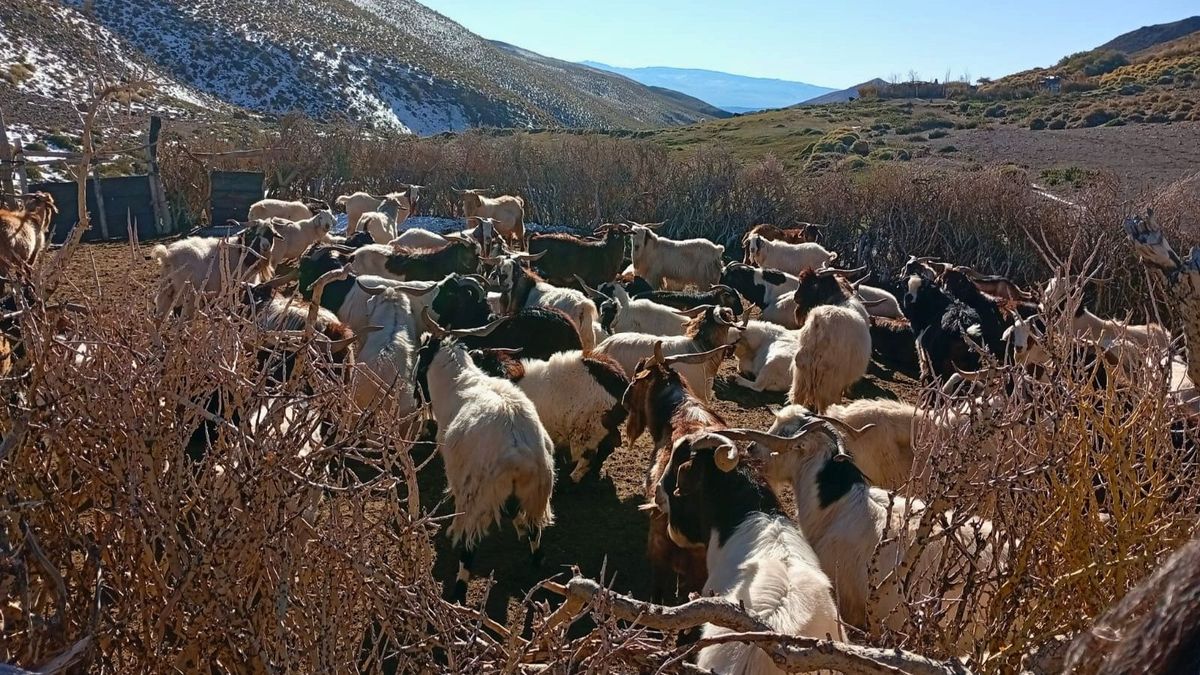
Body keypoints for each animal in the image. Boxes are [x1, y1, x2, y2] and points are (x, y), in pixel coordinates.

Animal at [151, 221, 280, 316]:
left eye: (270, 234)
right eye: (255, 234)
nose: (266, 246)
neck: (243, 250)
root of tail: (168, 255)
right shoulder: (238, 285)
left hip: (167, 288)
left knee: (161, 312)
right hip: (187, 292)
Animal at [414, 311, 555, 602]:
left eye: (422, 353)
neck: (460, 381)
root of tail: (520, 457)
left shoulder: (458, 475)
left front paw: (450, 531)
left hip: (479, 496)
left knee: (470, 549)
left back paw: (458, 594)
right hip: (537, 495)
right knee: (536, 540)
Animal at [789, 268, 872, 412]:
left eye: (813, 284)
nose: (795, 297)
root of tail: (818, 322)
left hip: (801, 374)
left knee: (797, 398)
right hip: (829, 381)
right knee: (826, 405)